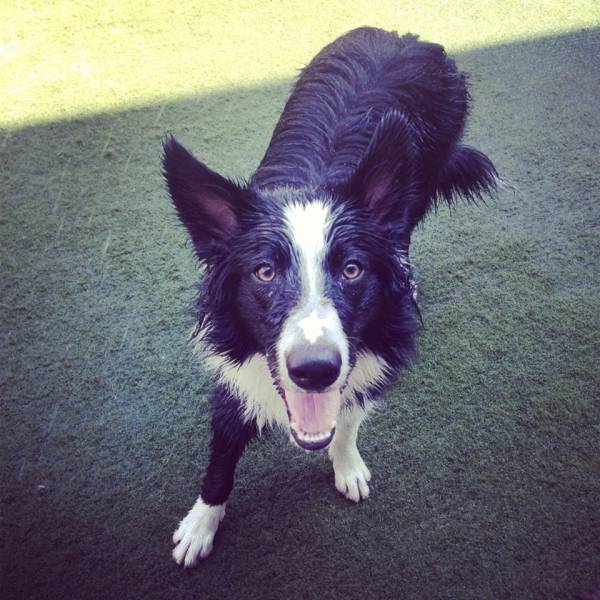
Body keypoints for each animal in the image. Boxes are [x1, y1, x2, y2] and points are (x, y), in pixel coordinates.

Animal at [162, 24, 500, 568]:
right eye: (264, 272)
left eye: (352, 269)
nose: (315, 370)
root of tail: (403, 35)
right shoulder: (235, 372)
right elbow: (220, 456)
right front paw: (201, 523)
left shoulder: (374, 352)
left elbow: (350, 415)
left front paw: (346, 465)